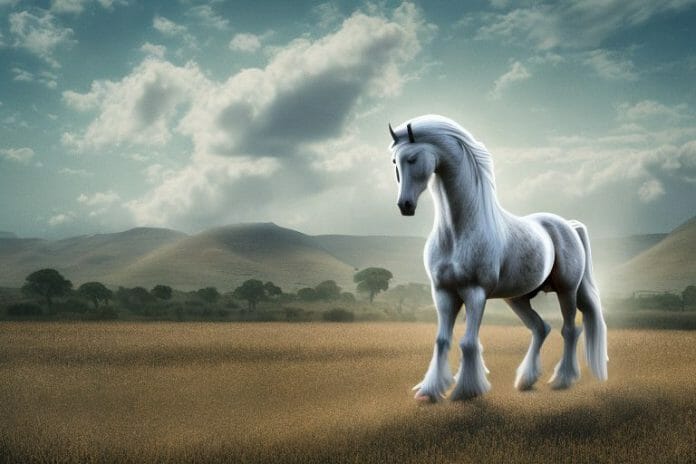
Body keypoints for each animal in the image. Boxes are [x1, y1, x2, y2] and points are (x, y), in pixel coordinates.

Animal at [388, 115, 608, 401]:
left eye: (412, 158)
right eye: (395, 162)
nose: (405, 206)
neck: (457, 231)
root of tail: (568, 225)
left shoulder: (475, 292)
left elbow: (468, 342)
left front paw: (466, 390)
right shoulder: (443, 293)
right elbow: (442, 341)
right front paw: (430, 392)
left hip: (566, 291)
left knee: (569, 330)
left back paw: (562, 380)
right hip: (517, 299)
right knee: (541, 328)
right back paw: (526, 381)